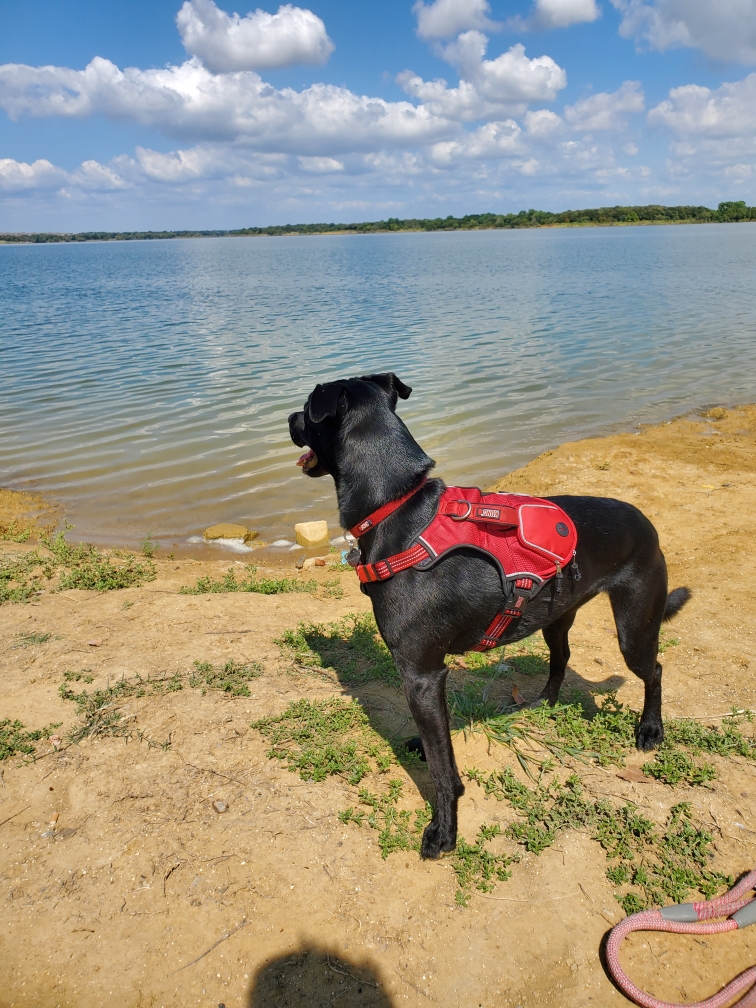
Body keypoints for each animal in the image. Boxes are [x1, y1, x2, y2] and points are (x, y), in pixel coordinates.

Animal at [290, 376, 693, 858]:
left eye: (306, 410)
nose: (289, 419)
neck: (397, 510)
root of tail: (646, 522)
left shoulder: (421, 675)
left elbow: (443, 771)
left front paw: (444, 831)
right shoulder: (426, 680)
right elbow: (438, 742)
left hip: (634, 627)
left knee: (655, 671)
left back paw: (650, 729)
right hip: (556, 617)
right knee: (562, 659)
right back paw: (542, 702)